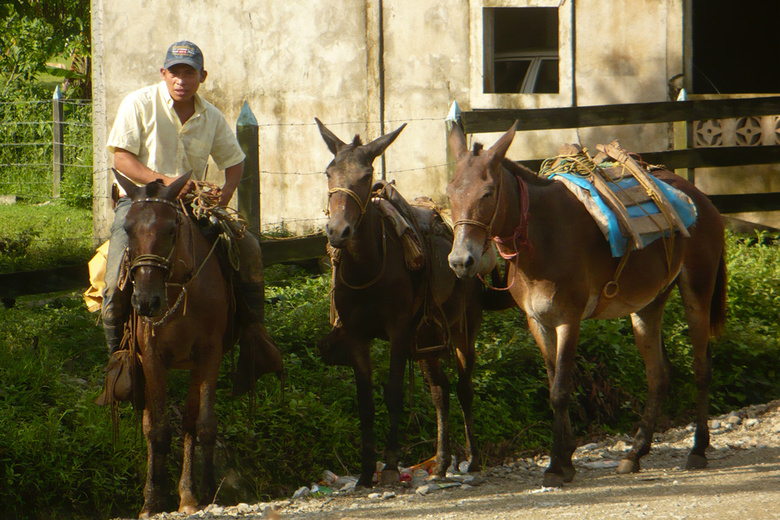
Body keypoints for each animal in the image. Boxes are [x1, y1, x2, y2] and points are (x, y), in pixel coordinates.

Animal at [112, 172, 233, 516]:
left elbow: (204, 425)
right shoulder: (153, 357)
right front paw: (152, 500)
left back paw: (189, 496)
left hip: (193, 365)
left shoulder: (209, 355)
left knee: (190, 422)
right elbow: (158, 430)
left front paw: (208, 492)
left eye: (170, 229)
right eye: (128, 229)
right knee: (150, 423)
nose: (145, 302)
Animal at [314, 118, 484, 488]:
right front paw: (366, 473)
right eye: (329, 172)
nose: (337, 231)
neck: (368, 267)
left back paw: (474, 459)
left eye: (366, 176)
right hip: (426, 337)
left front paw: (390, 466)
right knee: (440, 390)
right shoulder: (356, 336)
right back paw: (442, 462)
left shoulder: (397, 331)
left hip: (462, 329)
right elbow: (364, 401)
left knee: (464, 386)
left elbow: (393, 393)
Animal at [448, 125, 728, 488]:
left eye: (488, 193)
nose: (460, 261)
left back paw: (698, 449)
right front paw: (566, 458)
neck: (541, 236)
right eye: (450, 193)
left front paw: (555, 465)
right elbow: (554, 383)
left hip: (697, 291)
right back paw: (635, 453)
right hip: (648, 305)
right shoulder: (538, 322)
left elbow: (560, 391)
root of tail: (702, 198)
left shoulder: (569, 320)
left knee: (701, 367)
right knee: (658, 376)